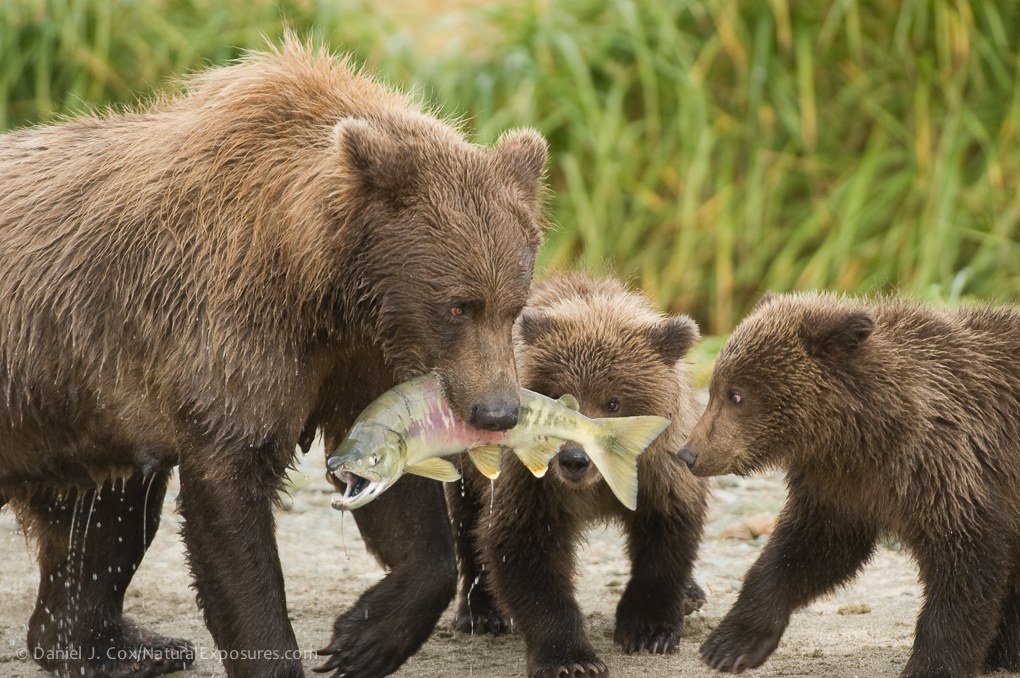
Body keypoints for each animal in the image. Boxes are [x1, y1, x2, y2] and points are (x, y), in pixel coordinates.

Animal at [0, 37, 547, 678]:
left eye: (513, 306)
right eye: (459, 306)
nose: (498, 411)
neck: (324, 280)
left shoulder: (361, 357)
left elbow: (399, 497)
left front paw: (363, 637)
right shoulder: (233, 325)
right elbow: (233, 493)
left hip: (82, 407)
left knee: (103, 510)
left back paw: (124, 647)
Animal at [446, 272, 709, 678]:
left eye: (613, 401)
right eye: (557, 394)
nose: (575, 459)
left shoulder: (661, 473)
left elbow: (666, 532)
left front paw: (648, 630)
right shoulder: (532, 482)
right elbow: (524, 547)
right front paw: (571, 658)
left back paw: (691, 594)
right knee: (468, 517)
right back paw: (483, 612)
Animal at [678, 291, 1020, 678]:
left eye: (736, 394)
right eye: (714, 389)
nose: (689, 453)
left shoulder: (950, 469)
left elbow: (965, 567)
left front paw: (929, 665)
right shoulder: (841, 487)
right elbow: (806, 551)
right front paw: (729, 644)